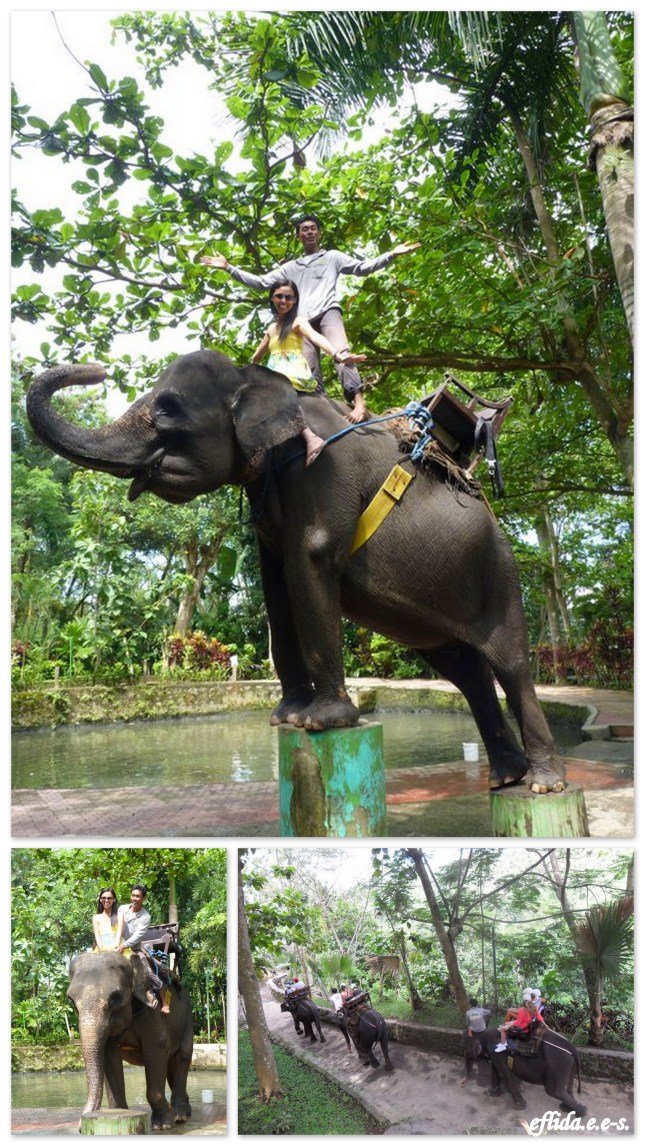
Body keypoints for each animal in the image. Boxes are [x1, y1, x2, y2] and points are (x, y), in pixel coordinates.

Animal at [26, 350, 568, 794]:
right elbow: (276, 582)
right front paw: (286, 718)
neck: (259, 379)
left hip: (500, 575)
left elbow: (308, 559)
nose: (97, 371)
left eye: (167, 409)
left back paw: (543, 784)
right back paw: (505, 778)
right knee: (463, 670)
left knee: (510, 666)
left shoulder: (322, 472)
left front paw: (321, 722)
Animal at [67, 951, 193, 1131]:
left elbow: (157, 1047)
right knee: (171, 1062)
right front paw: (118, 1112)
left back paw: (180, 1116)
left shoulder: (152, 1010)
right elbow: (109, 1055)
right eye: (71, 1000)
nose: (80, 1125)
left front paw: (162, 1125)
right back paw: (182, 1112)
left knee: (183, 1056)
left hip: (188, 1019)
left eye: (115, 998)